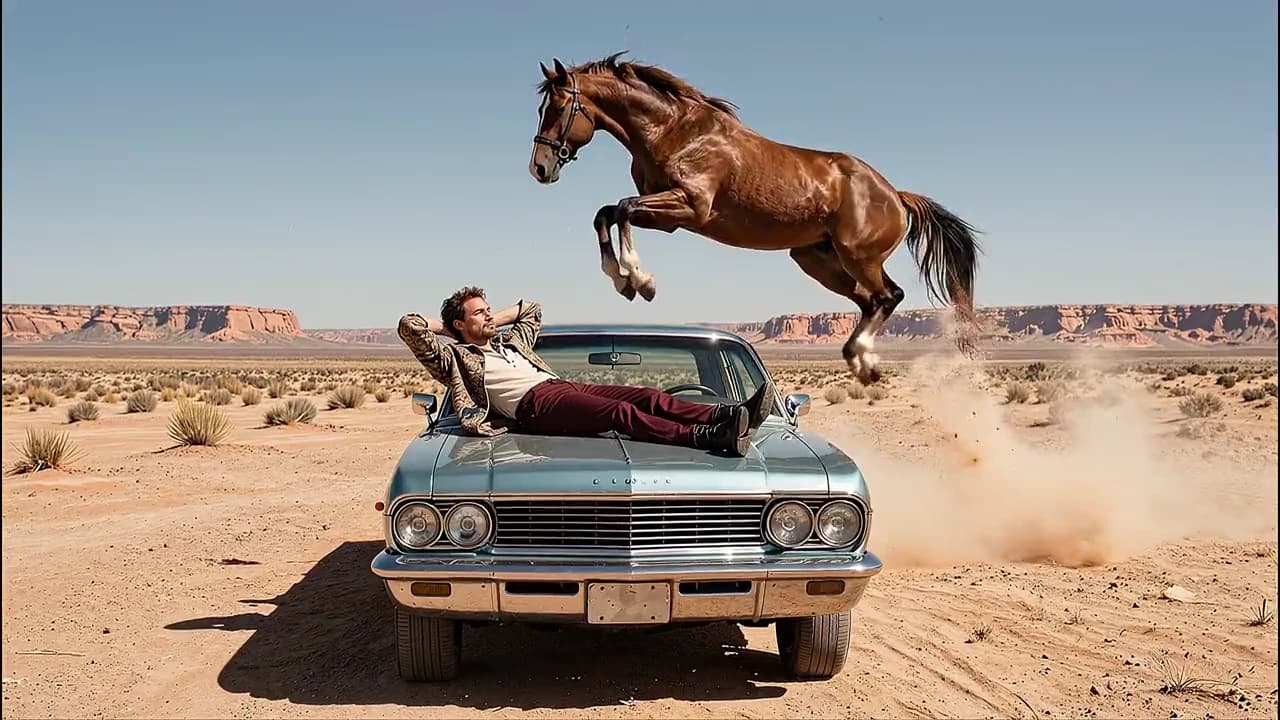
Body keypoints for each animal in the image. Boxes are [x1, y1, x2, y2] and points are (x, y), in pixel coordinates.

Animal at [527, 53, 982, 384]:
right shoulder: (668, 215)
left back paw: (862, 358)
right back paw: (863, 363)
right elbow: (605, 214)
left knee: (890, 296)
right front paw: (621, 280)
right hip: (817, 260)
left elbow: (621, 209)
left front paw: (640, 281)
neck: (674, 131)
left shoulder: (689, 206)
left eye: (559, 107)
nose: (540, 168)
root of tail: (895, 196)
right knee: (871, 300)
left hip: (858, 255)